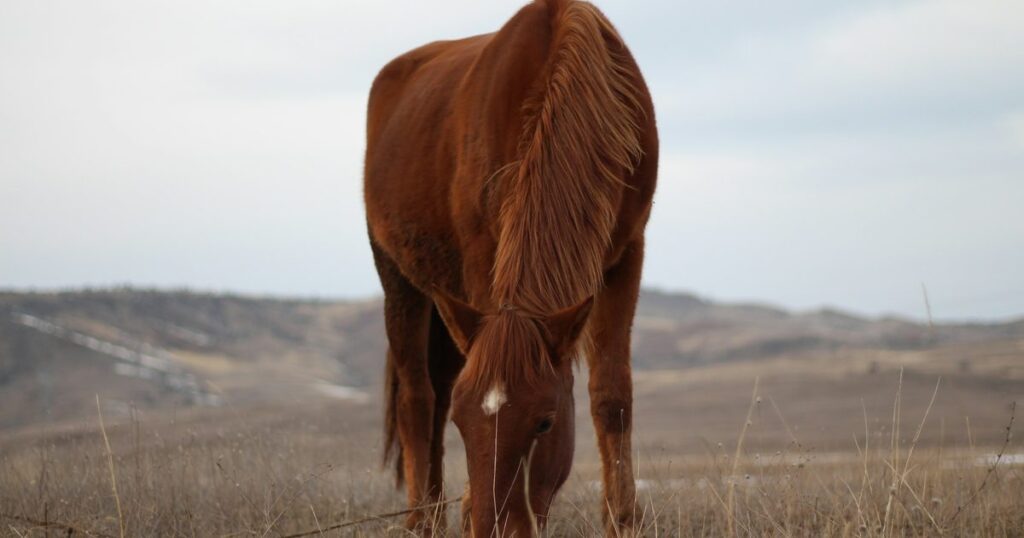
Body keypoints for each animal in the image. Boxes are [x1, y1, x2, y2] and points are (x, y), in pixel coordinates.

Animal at [363, 0, 657, 535]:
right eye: (466, 425)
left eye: (544, 422)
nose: (493, 526)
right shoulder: (483, 256)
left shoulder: (627, 253)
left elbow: (612, 394)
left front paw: (623, 519)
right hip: (397, 278)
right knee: (417, 400)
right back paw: (422, 519)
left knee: (435, 392)